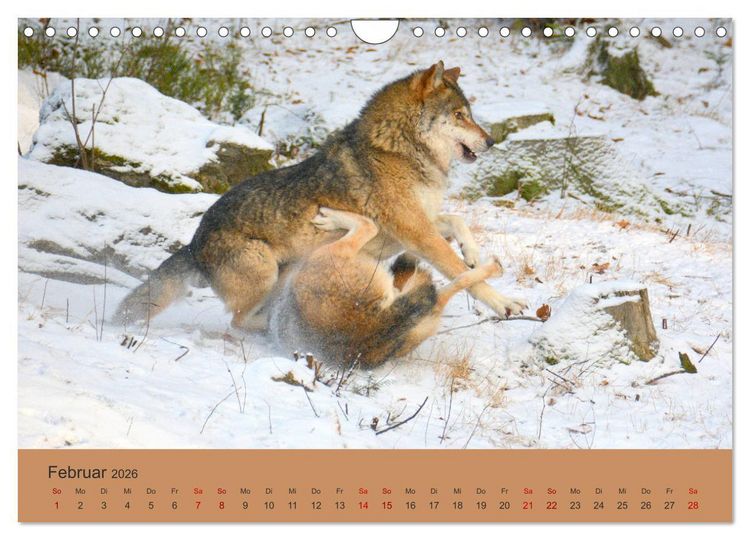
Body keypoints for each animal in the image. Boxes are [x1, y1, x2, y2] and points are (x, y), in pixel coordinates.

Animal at [114, 61, 527, 328]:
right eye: (459, 115)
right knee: (238, 322)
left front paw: (472, 253)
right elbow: (463, 275)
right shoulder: (417, 233)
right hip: (265, 273)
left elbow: (457, 222)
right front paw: (505, 303)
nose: (491, 141)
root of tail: (192, 245)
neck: (397, 150)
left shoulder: (418, 226)